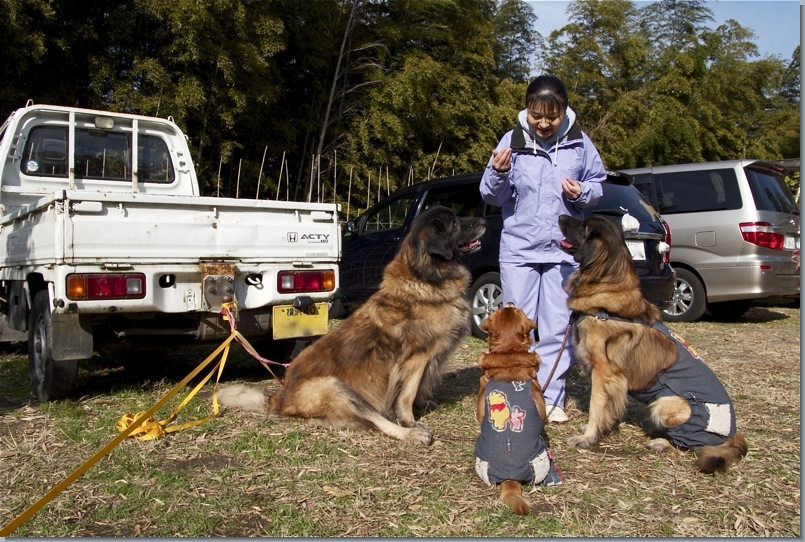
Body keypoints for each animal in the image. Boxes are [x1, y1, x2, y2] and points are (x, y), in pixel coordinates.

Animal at [215, 207, 484, 446]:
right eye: (455, 223)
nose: (483, 220)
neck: (426, 276)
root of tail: (278, 397)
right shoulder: (417, 358)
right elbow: (407, 395)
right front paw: (410, 421)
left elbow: (414, 393)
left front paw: (423, 405)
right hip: (335, 387)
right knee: (378, 421)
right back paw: (413, 435)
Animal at [560, 215, 748, 474]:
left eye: (583, 226)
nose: (559, 216)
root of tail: (732, 433)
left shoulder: (604, 374)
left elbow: (596, 407)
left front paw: (588, 437)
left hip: (665, 404)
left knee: (689, 446)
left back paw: (662, 442)